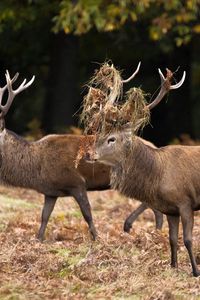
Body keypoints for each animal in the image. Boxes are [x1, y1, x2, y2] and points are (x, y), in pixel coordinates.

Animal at [0, 69, 162, 241]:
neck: (38, 168)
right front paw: (39, 239)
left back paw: (131, 225)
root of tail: (154, 147)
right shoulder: (50, 192)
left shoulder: (76, 182)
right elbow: (44, 216)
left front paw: (97, 238)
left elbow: (87, 213)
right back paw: (156, 234)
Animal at [84, 67, 200, 276]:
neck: (158, 173)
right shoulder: (170, 209)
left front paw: (195, 272)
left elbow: (187, 239)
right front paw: (173, 267)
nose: (88, 153)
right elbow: (172, 239)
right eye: (99, 134)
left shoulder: (185, 202)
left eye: (112, 139)